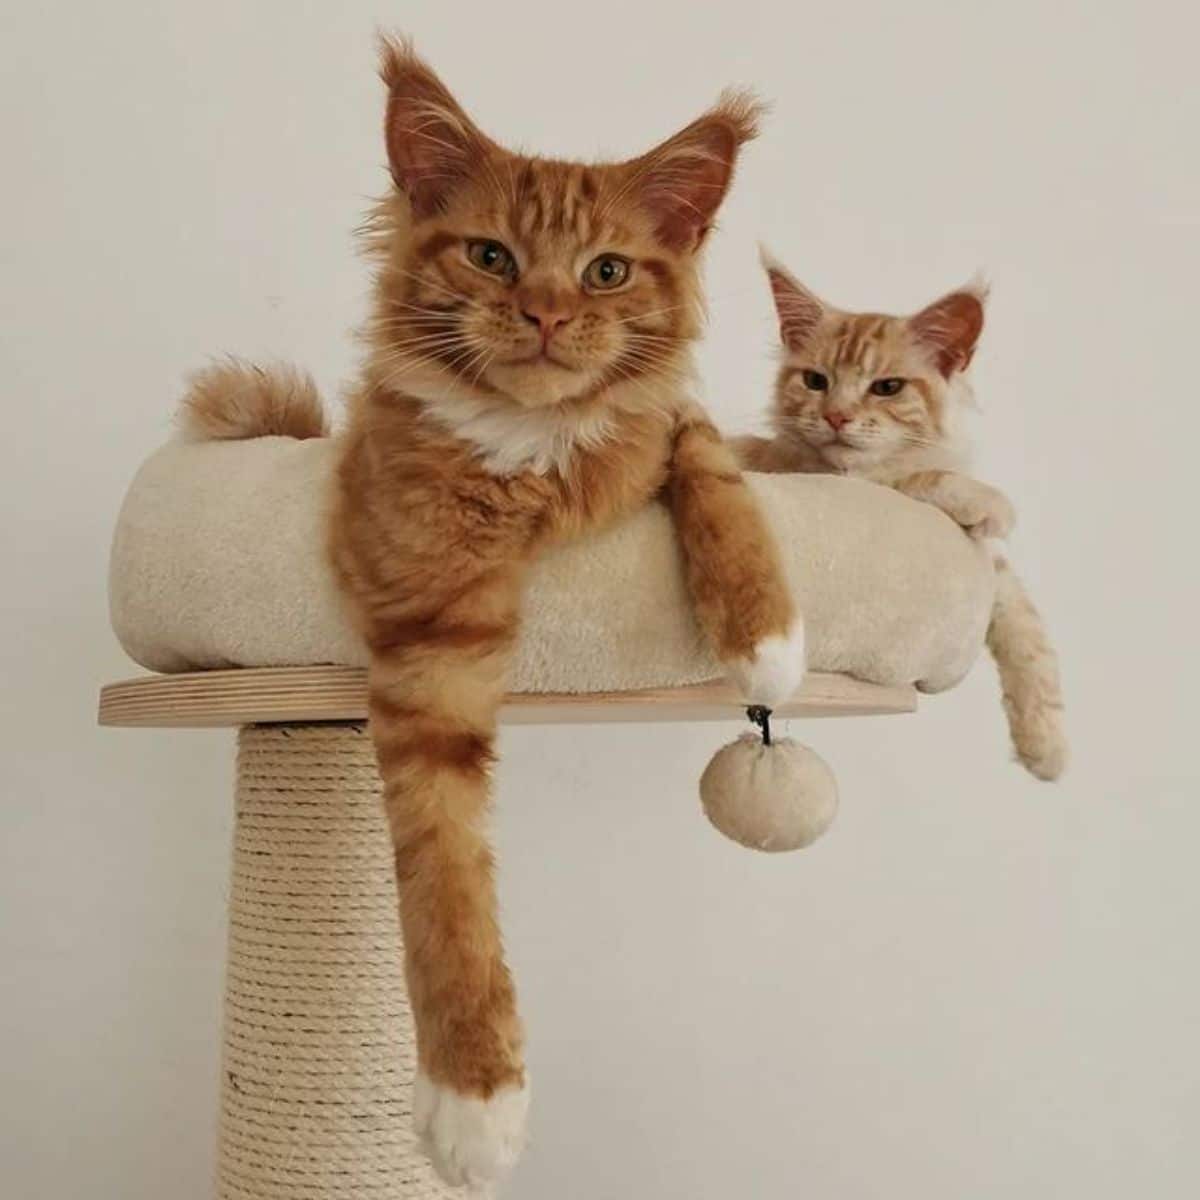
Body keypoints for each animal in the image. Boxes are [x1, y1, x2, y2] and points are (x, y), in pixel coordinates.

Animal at [739, 253, 1070, 777]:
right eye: (816, 381)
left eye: (887, 387)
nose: (836, 416)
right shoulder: (823, 476)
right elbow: (917, 481)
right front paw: (988, 500)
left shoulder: (986, 564)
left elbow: (1028, 627)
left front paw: (1046, 744)